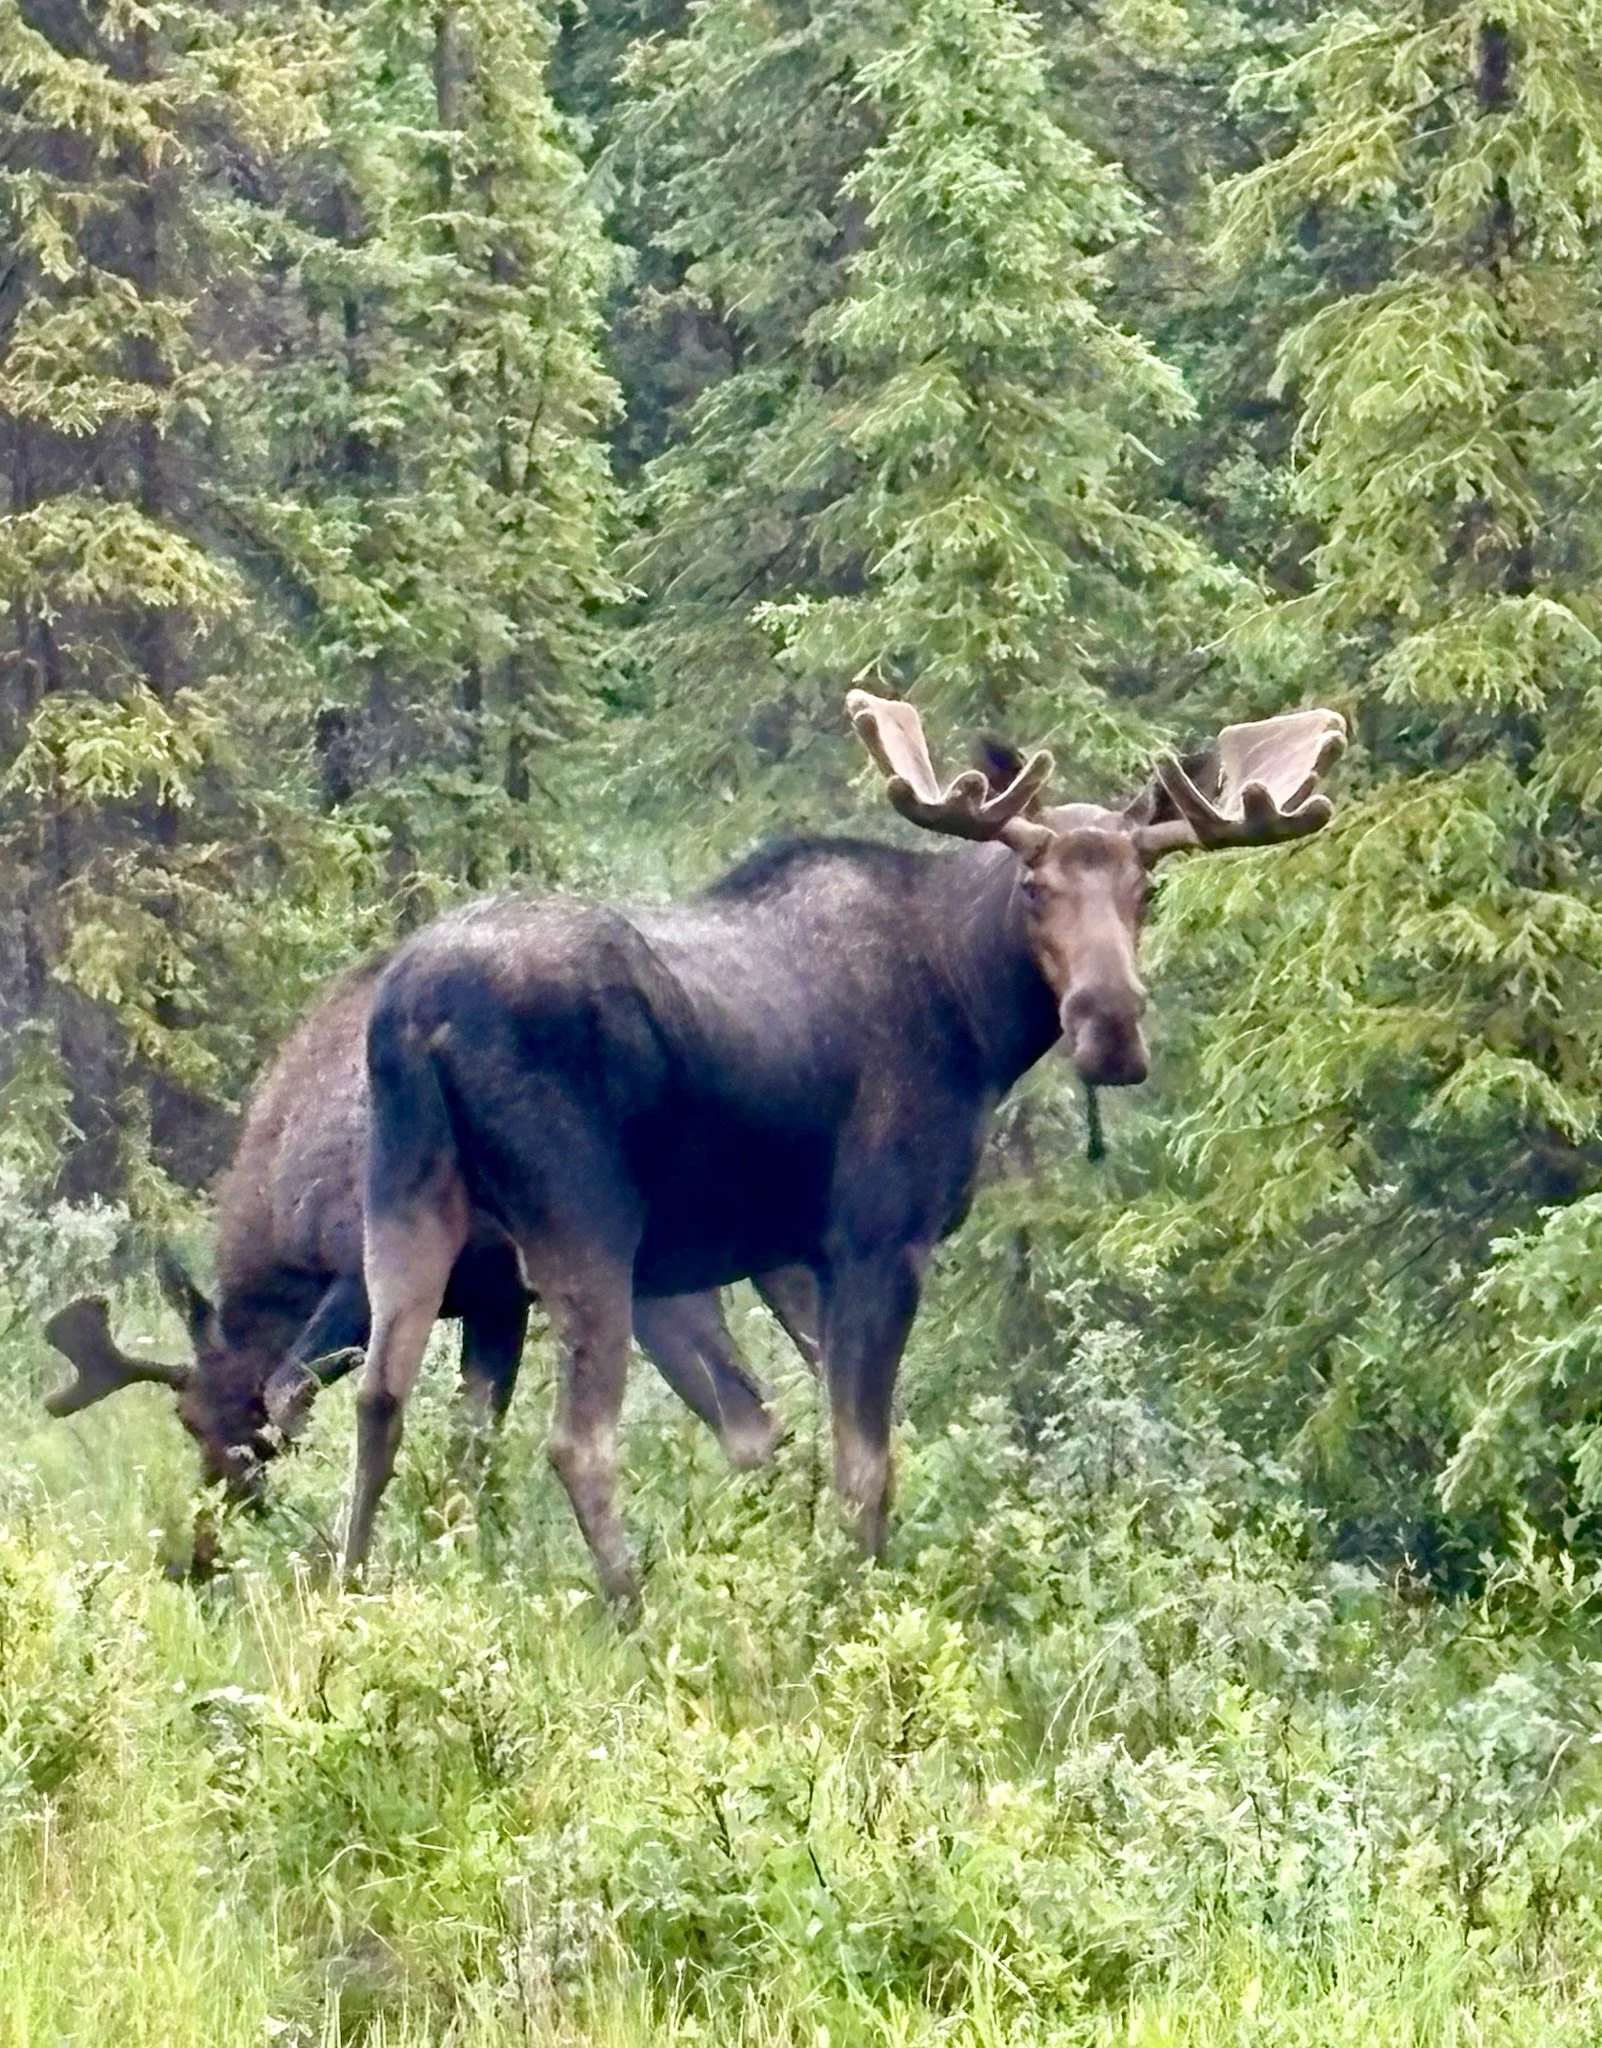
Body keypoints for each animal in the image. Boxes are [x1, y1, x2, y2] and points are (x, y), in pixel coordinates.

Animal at [42, 956, 819, 1573]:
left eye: (200, 1423)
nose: (198, 1557)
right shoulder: (496, 1300)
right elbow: (469, 1446)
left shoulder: (359, 1278)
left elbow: (297, 1390)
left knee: (750, 1411)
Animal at [338, 690, 1346, 1603]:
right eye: (1034, 887)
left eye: (1147, 890)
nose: (1110, 1027)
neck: (977, 1018)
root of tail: (416, 1011)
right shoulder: (877, 1239)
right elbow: (867, 1463)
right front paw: (855, 1601)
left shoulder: (792, 1254)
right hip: (583, 1222)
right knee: (576, 1439)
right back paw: (632, 1609)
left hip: (405, 1197)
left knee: (380, 1398)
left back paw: (345, 1594)